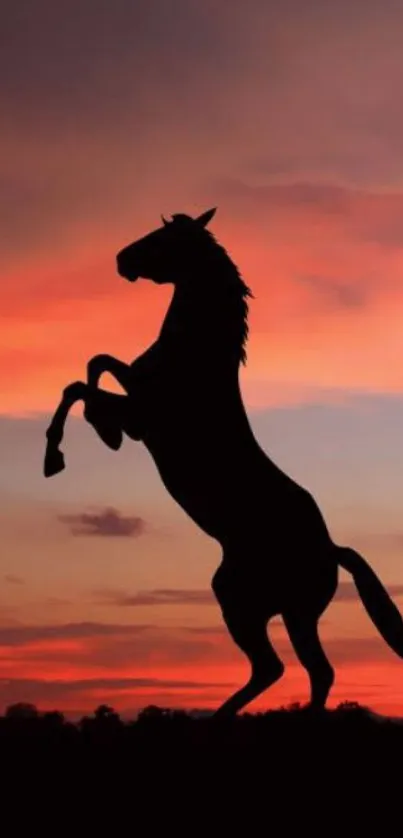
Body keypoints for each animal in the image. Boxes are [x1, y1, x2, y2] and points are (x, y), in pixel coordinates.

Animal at [44, 208, 403, 716]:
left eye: (165, 238)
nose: (121, 260)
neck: (196, 357)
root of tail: (332, 549)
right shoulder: (138, 403)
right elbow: (95, 368)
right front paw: (100, 433)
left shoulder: (145, 414)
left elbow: (84, 381)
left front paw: (58, 454)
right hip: (286, 611)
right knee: (311, 671)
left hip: (248, 602)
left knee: (282, 668)